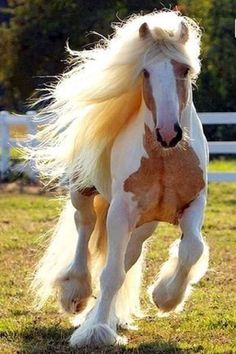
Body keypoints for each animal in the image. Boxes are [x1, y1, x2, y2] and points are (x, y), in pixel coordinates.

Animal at [29, 9, 208, 348]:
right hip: (84, 193)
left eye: (184, 69)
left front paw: (165, 297)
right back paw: (76, 293)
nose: (168, 133)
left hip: (143, 224)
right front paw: (96, 331)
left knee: (128, 255)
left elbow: (192, 249)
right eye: (145, 72)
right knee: (85, 227)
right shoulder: (121, 211)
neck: (164, 159)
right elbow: (110, 274)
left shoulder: (193, 204)